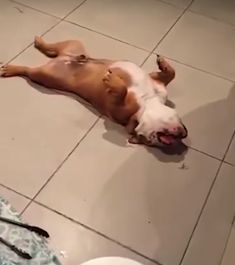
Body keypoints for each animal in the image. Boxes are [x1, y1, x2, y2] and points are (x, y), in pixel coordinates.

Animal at [0, 36, 187, 145]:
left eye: (150, 141)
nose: (183, 134)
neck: (149, 103)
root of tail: (63, 58)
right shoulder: (156, 82)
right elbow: (171, 73)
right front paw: (163, 63)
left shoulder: (117, 108)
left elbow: (120, 92)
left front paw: (111, 80)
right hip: (74, 45)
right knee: (52, 47)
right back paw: (40, 41)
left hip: (43, 75)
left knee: (28, 70)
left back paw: (12, 68)